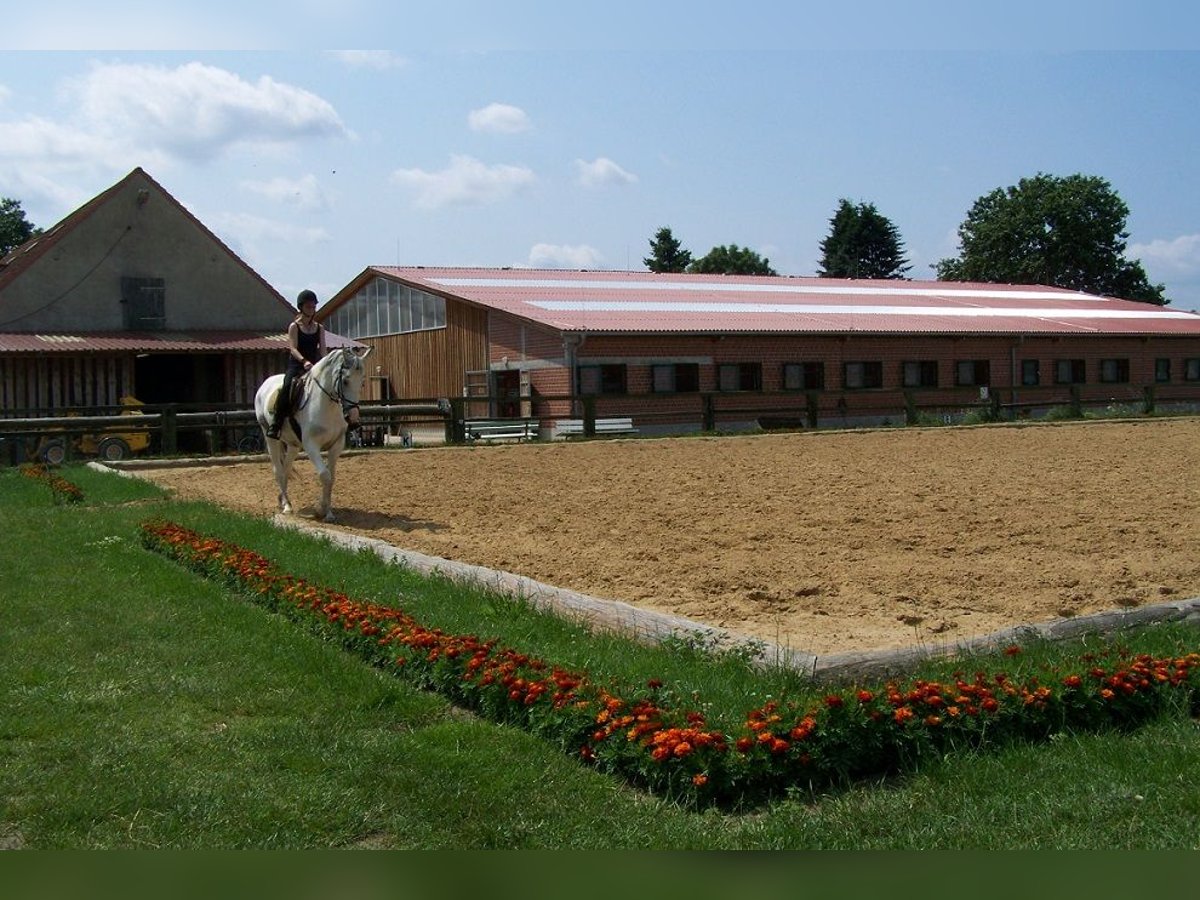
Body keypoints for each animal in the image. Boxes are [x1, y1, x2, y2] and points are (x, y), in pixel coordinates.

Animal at [250, 348, 367, 525]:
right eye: (346, 381)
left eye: (361, 382)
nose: (353, 418)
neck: (326, 404)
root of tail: (266, 383)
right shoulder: (311, 446)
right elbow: (324, 475)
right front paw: (320, 510)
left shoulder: (336, 445)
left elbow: (331, 478)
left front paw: (328, 513)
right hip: (270, 437)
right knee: (278, 470)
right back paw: (287, 507)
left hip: (293, 445)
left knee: (286, 469)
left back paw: (283, 501)